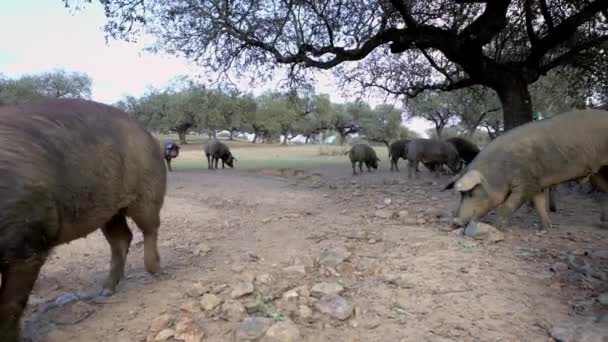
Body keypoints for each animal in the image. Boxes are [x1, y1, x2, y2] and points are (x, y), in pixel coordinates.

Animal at [0, 97, 166, 342]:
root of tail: (148, 133)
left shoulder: (26, 245)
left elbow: (10, 306)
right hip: (109, 210)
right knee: (121, 238)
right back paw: (105, 291)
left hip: (146, 192)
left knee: (150, 227)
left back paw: (155, 271)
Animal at [442, 109, 608, 232]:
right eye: (462, 195)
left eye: (471, 193)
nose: (455, 222)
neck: (499, 171)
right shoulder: (537, 183)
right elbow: (539, 204)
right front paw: (546, 228)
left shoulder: (525, 182)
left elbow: (509, 205)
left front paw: (497, 228)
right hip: (599, 172)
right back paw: (602, 224)